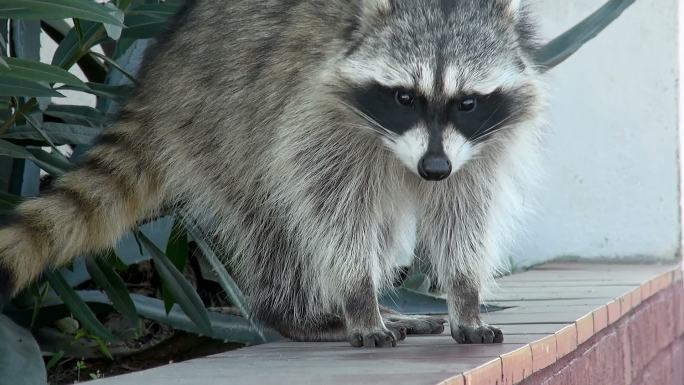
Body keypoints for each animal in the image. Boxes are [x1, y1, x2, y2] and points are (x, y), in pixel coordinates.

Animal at [0, 0, 544, 346]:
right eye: (404, 97)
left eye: (467, 102)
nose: (433, 168)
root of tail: (159, 77)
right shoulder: (317, 112)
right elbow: (333, 213)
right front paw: (357, 299)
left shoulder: (479, 144)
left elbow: (464, 212)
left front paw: (465, 295)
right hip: (225, 120)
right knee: (277, 223)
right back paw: (303, 315)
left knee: (382, 231)